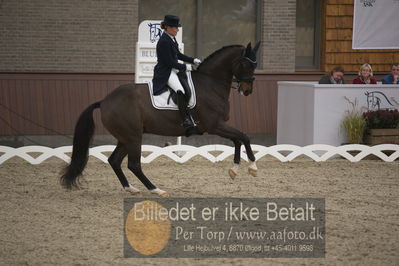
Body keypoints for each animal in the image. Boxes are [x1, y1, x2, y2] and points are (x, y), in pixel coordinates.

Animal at [61, 41, 262, 195]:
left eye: (255, 65)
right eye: (246, 65)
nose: (247, 90)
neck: (210, 83)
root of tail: (104, 101)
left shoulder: (219, 125)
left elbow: (238, 140)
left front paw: (234, 170)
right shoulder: (214, 125)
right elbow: (243, 137)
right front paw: (252, 167)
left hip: (126, 137)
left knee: (114, 160)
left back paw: (130, 188)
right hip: (133, 137)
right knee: (134, 164)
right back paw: (155, 189)